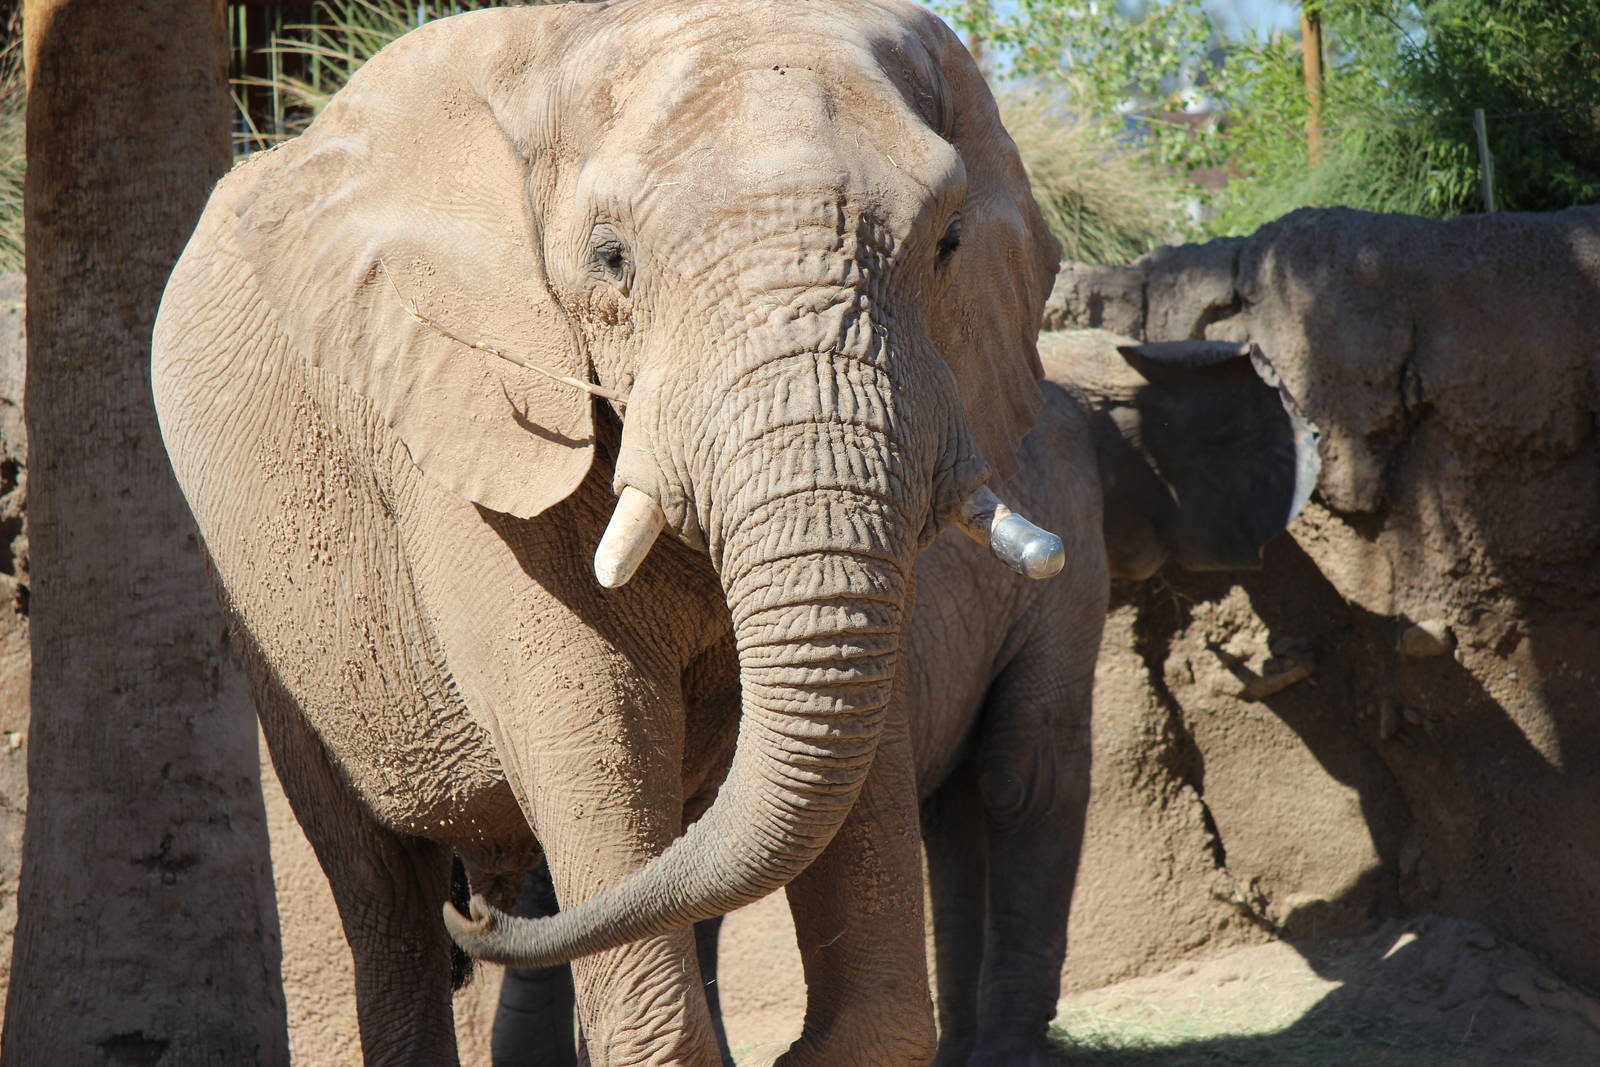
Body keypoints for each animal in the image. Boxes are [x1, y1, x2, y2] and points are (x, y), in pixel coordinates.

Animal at [150, 1, 1067, 1064]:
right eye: (611, 258)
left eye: (951, 240)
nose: (481, 920)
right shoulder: (466, 406)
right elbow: (592, 716)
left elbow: (864, 782)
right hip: (279, 630)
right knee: (378, 890)